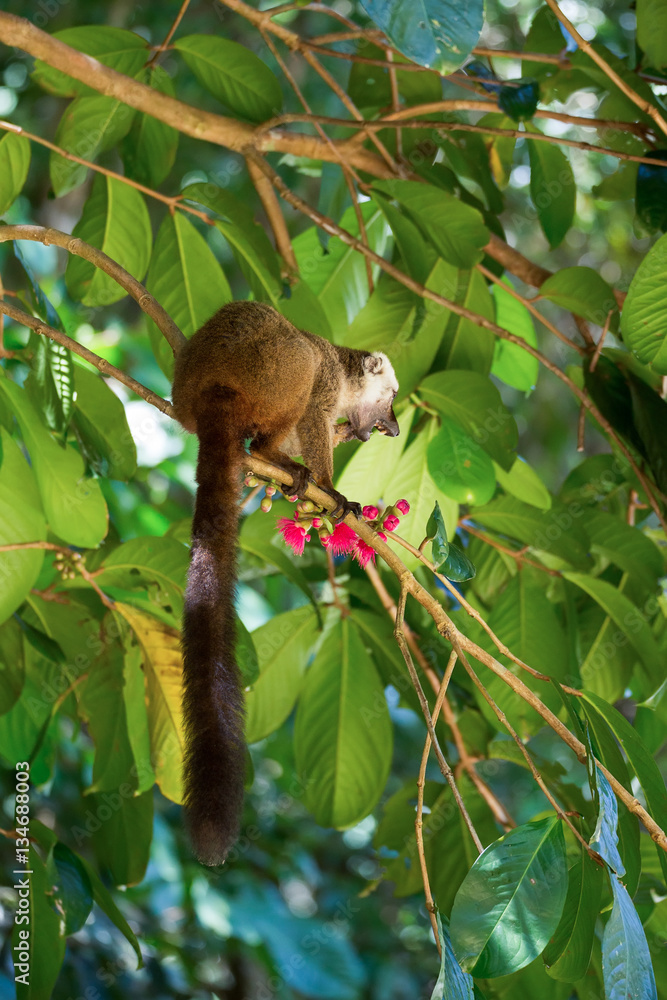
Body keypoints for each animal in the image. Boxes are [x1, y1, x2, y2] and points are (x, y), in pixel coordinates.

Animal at [171, 300, 400, 866]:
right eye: (388, 400)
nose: (392, 429)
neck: (345, 372)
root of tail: (207, 388)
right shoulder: (328, 382)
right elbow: (315, 417)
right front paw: (333, 492)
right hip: (266, 371)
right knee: (297, 363)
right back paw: (273, 455)